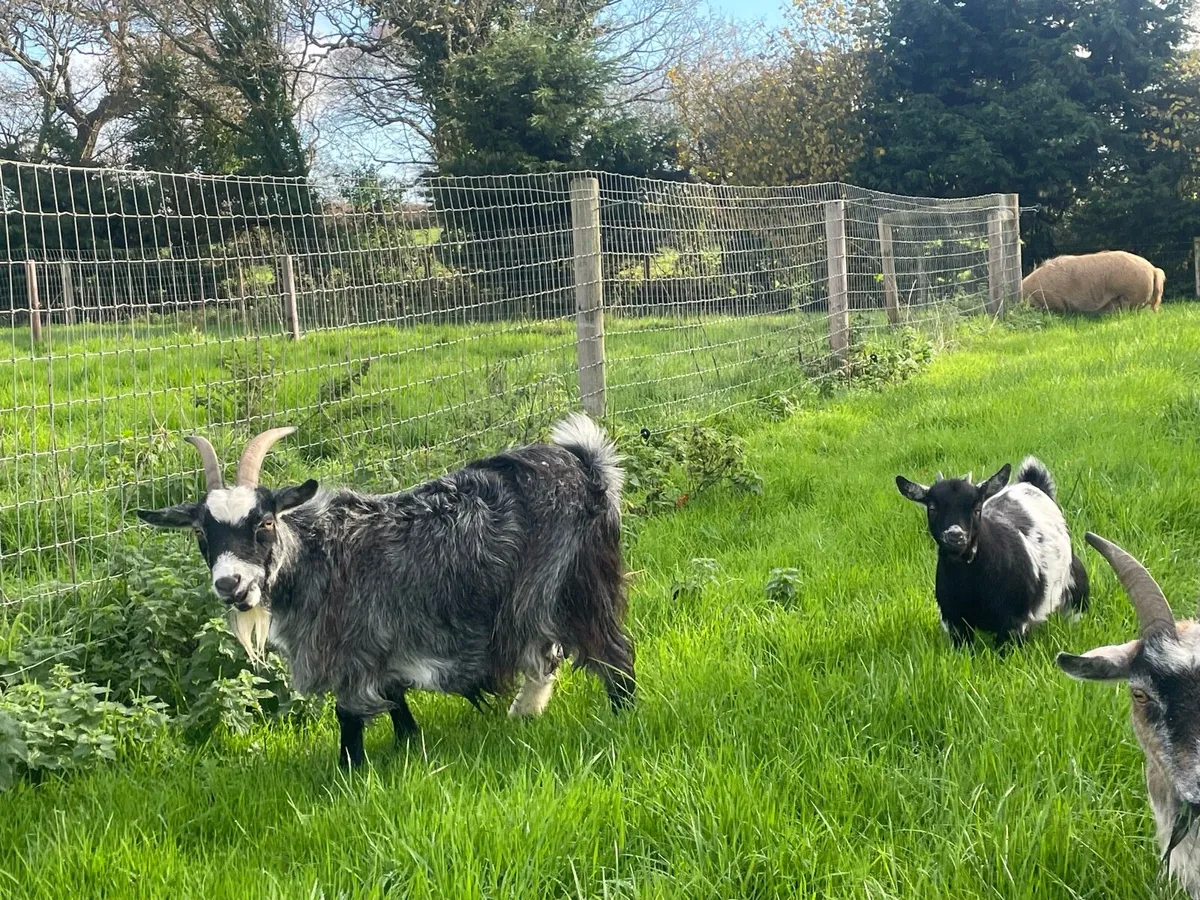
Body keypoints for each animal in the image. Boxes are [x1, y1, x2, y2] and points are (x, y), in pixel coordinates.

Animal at [136, 414, 635, 767]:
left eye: (264, 522)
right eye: (202, 533)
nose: (230, 584)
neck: (316, 555)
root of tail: (586, 466)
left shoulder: (352, 647)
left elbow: (349, 713)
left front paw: (349, 770)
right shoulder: (381, 642)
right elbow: (395, 696)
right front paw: (408, 743)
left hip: (574, 585)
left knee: (613, 651)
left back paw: (622, 718)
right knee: (548, 656)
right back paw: (525, 715)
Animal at [896, 457, 1089, 647]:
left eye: (977, 509)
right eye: (932, 509)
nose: (955, 535)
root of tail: (1031, 484)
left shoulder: (1013, 624)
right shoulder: (955, 622)